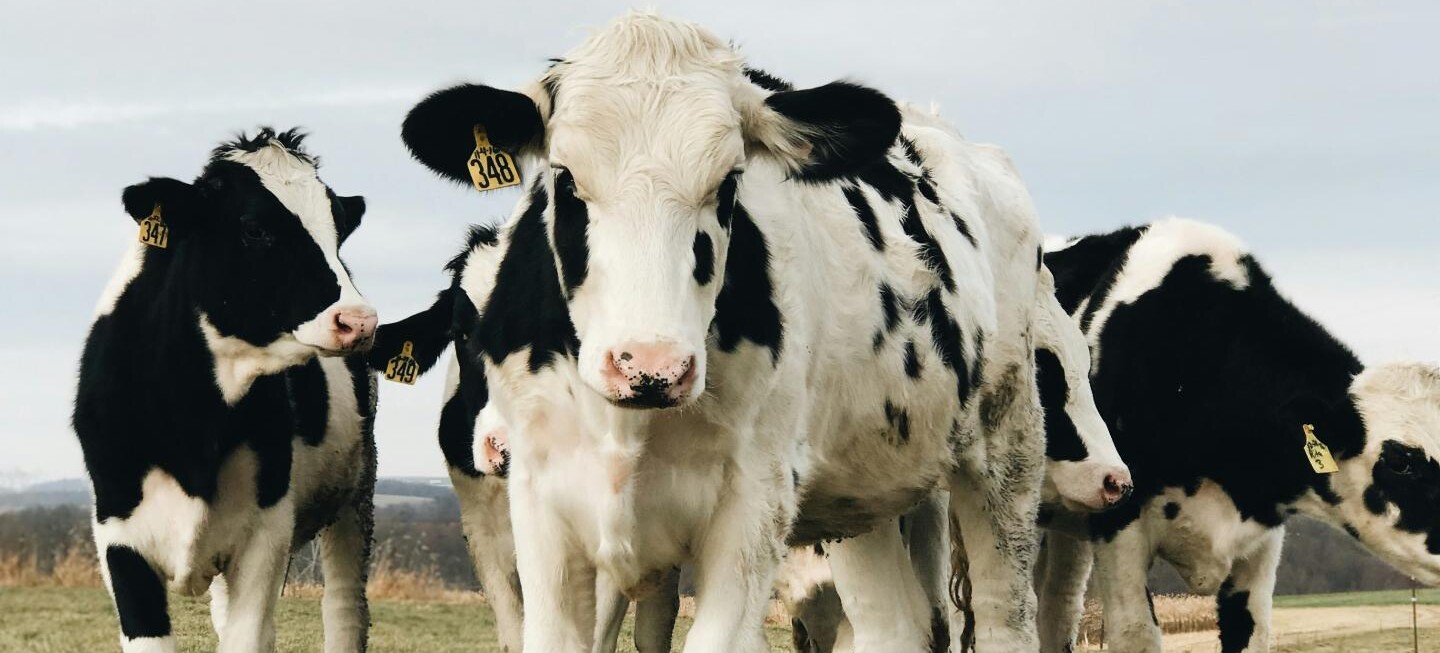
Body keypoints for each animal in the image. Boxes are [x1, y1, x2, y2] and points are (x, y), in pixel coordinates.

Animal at [74, 128, 378, 653]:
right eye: (254, 229)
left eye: (337, 230)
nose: (358, 321)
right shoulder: (118, 535)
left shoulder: (266, 533)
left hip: (357, 492)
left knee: (344, 607)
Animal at [382, 12, 1078, 651]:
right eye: (565, 178)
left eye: (729, 183)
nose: (650, 366)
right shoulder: (539, 509)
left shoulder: (752, 510)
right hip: (866, 486)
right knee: (894, 625)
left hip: (1008, 448)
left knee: (1004, 617)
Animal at [1034, 217, 1440, 653]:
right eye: (1400, 461)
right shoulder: (1119, 526)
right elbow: (1135, 633)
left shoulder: (1260, 540)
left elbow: (1252, 631)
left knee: (1057, 606)